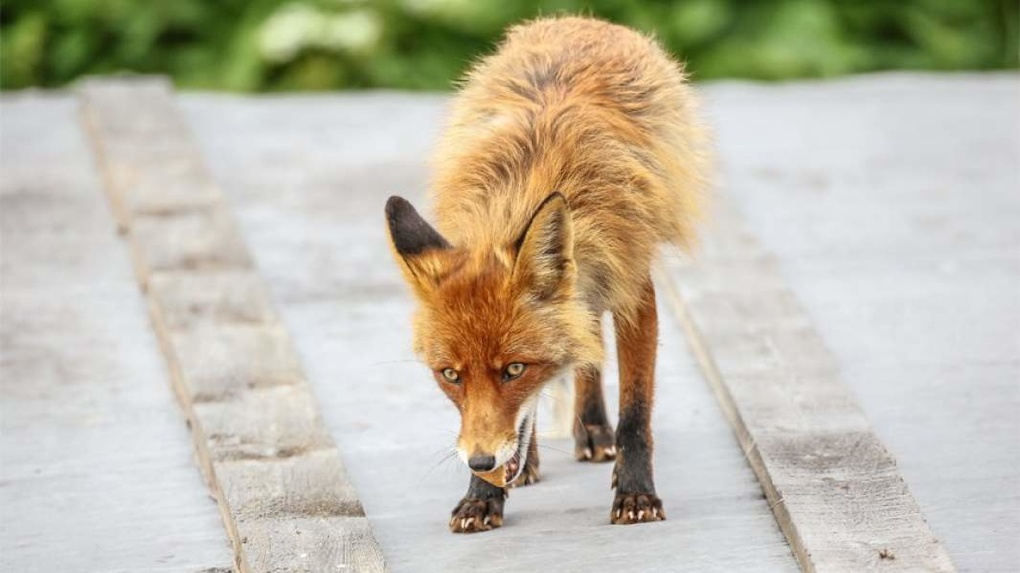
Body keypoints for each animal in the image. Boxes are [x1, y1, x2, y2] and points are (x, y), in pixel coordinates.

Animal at [385, 14, 705, 530]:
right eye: (449, 375)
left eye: (515, 369)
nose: (481, 462)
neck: (533, 182)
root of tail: (582, 20)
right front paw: (483, 495)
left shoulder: (633, 289)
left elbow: (635, 414)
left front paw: (636, 493)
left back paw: (593, 429)